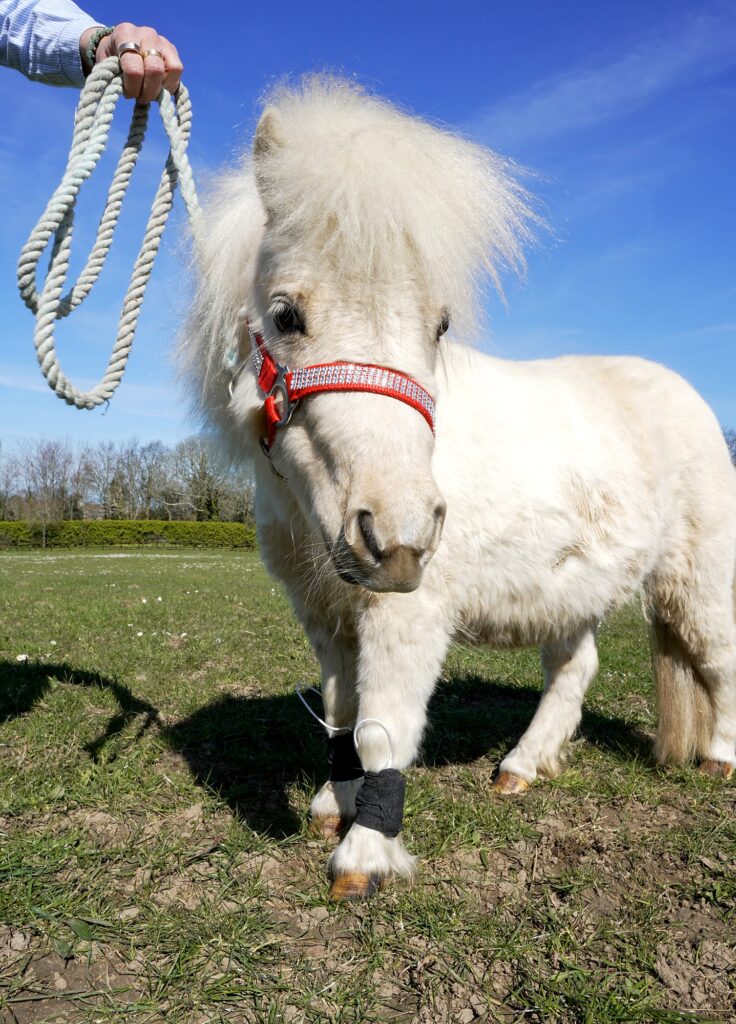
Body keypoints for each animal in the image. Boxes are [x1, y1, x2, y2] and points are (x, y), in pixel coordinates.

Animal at [179, 77, 736, 900]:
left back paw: (718, 758)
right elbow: (342, 714)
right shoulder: (325, 612)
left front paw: (365, 854)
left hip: (691, 579)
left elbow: (383, 723)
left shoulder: (405, 611)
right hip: (571, 591)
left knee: (719, 657)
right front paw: (332, 803)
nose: (399, 537)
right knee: (575, 670)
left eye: (438, 324)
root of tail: (687, 394)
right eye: (285, 315)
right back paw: (521, 768)